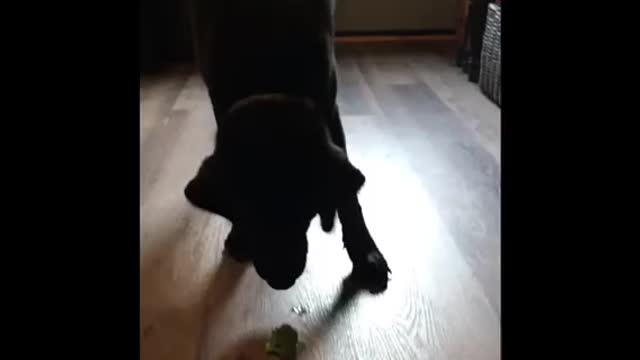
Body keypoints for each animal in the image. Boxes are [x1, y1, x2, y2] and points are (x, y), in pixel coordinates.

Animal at [184, 0, 390, 292]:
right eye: (246, 209)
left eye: (305, 208)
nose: (280, 279)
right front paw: (239, 236)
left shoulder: (329, 103)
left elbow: (348, 197)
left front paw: (365, 253)